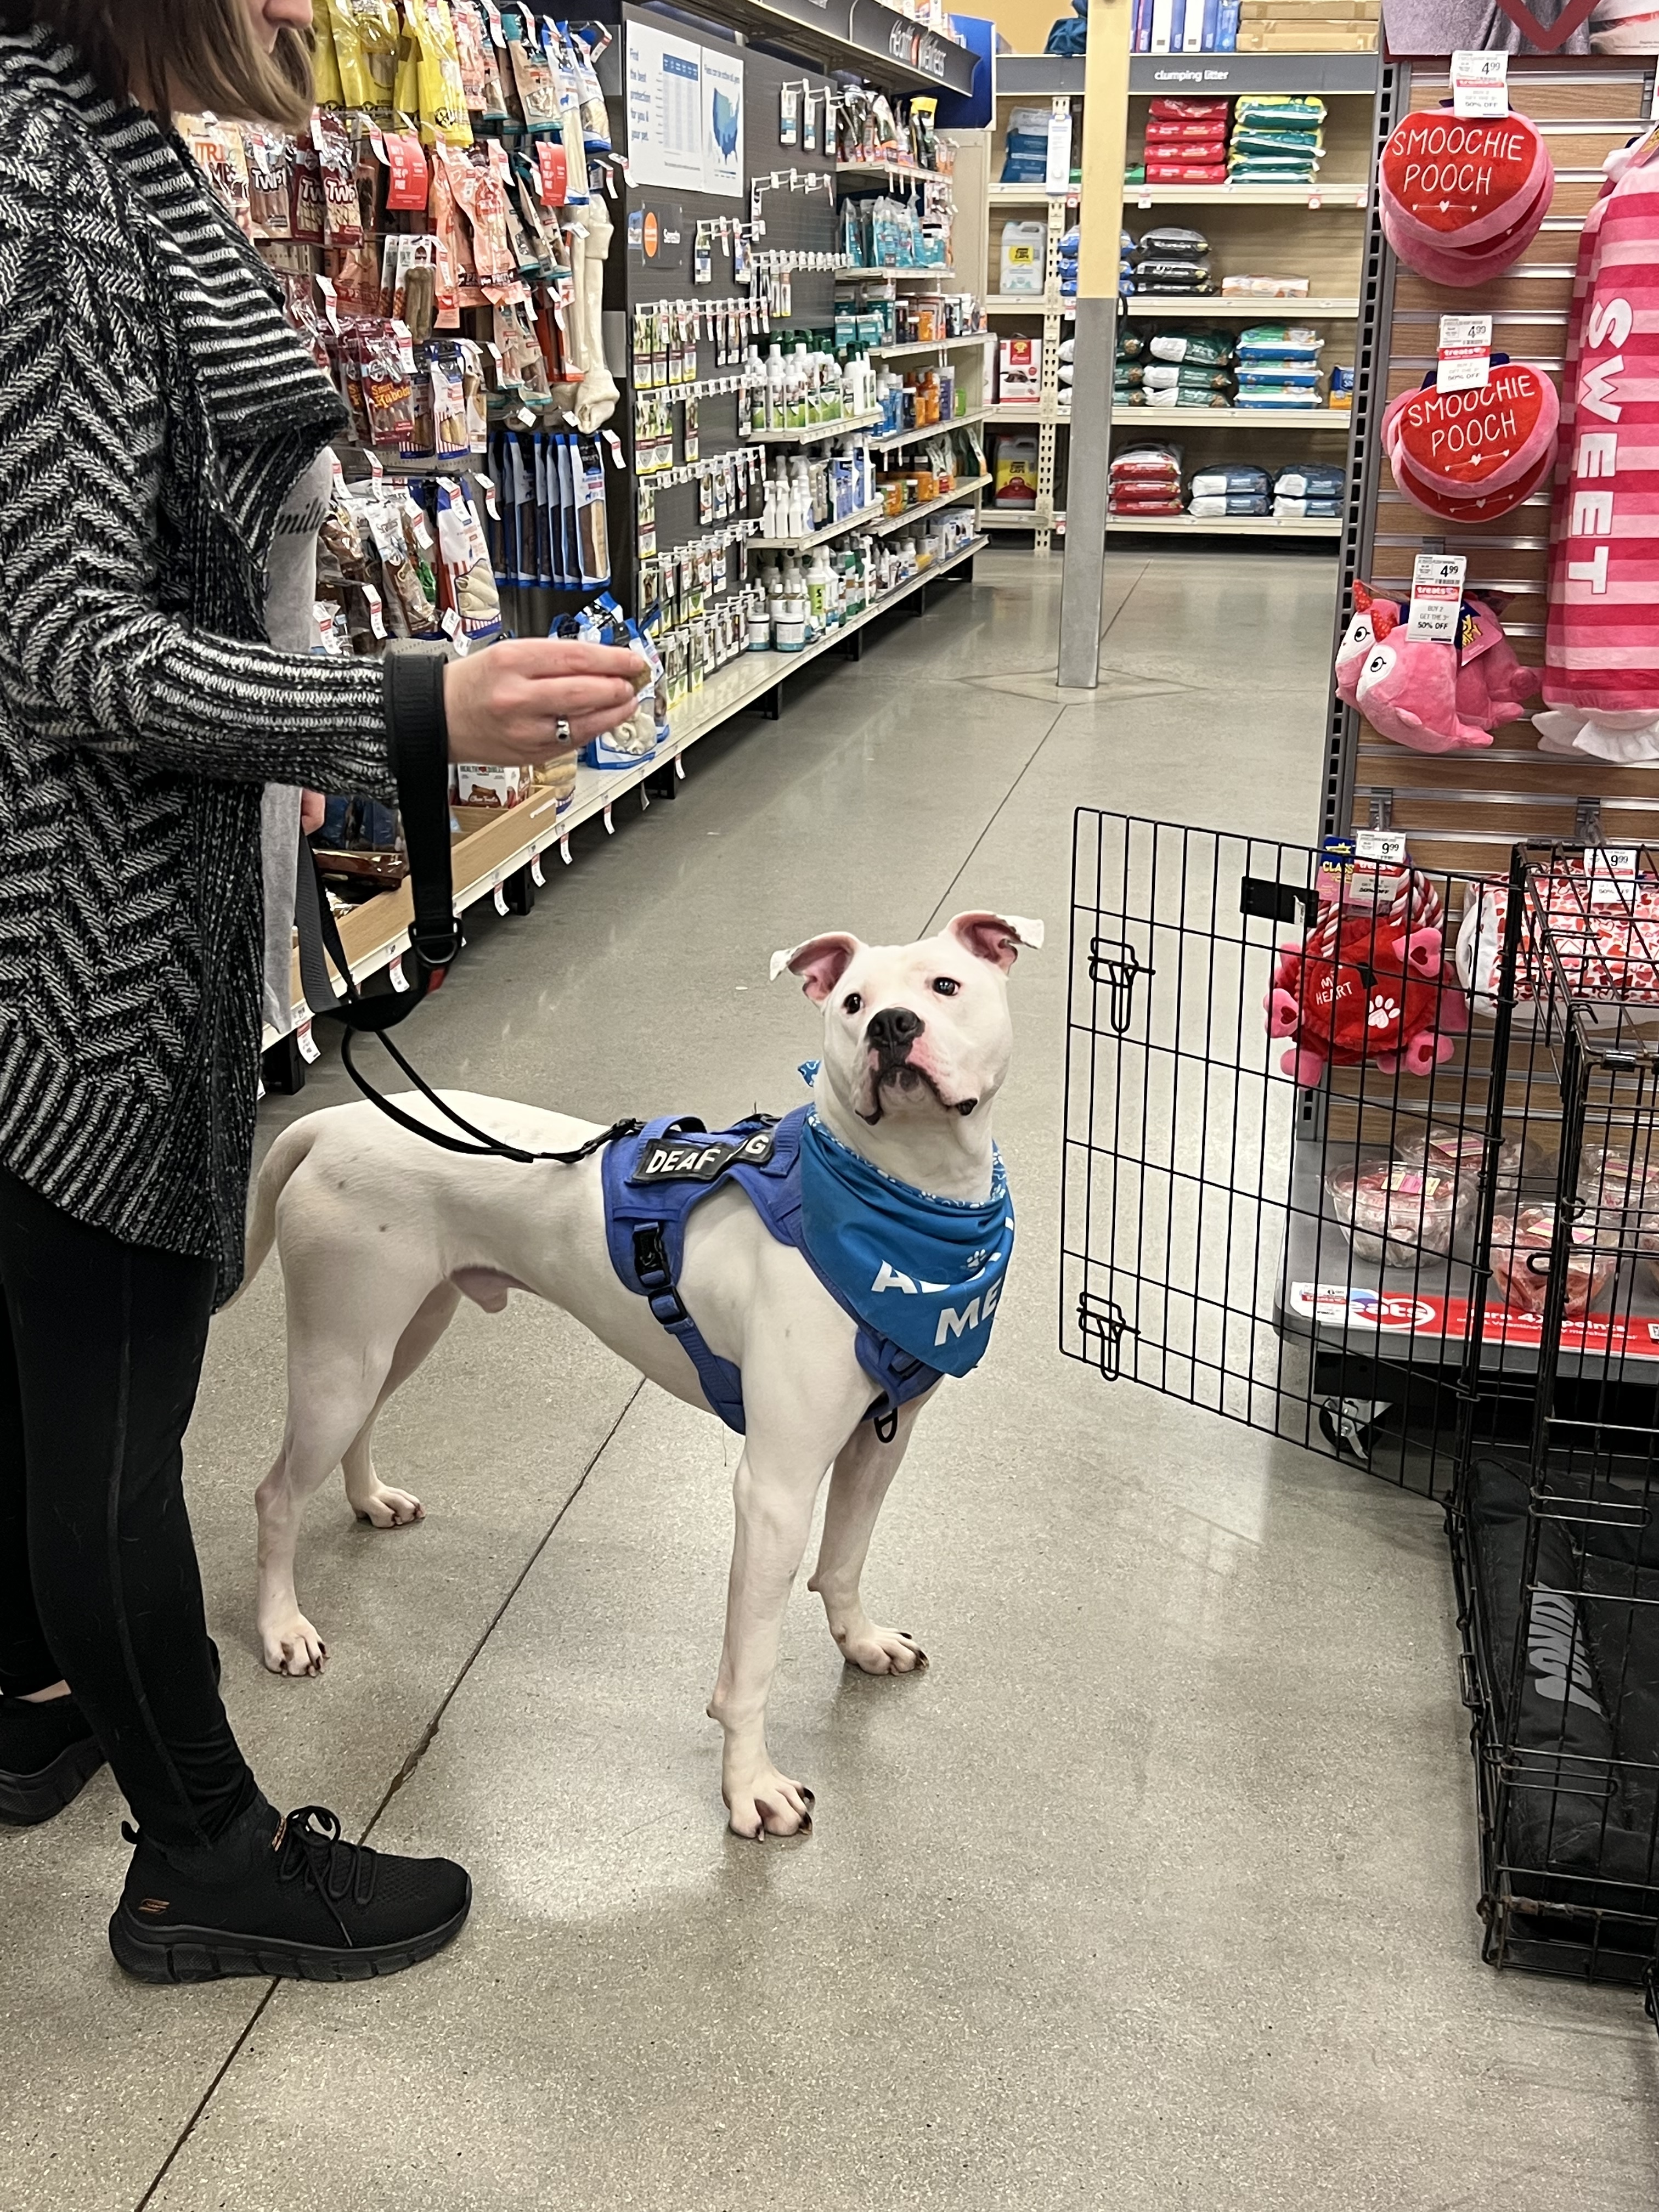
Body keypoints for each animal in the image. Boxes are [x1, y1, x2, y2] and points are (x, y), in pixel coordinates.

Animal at [243, 907, 1040, 1840]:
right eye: (851, 1003)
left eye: (946, 987)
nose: (892, 1027)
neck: (903, 1211)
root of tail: (327, 1123)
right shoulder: (774, 1488)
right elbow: (750, 1669)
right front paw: (751, 1787)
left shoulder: (880, 1442)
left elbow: (843, 1562)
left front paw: (860, 1641)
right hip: (343, 1348)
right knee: (276, 1494)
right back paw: (281, 1627)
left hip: (398, 1332)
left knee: (360, 1425)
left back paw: (369, 1500)